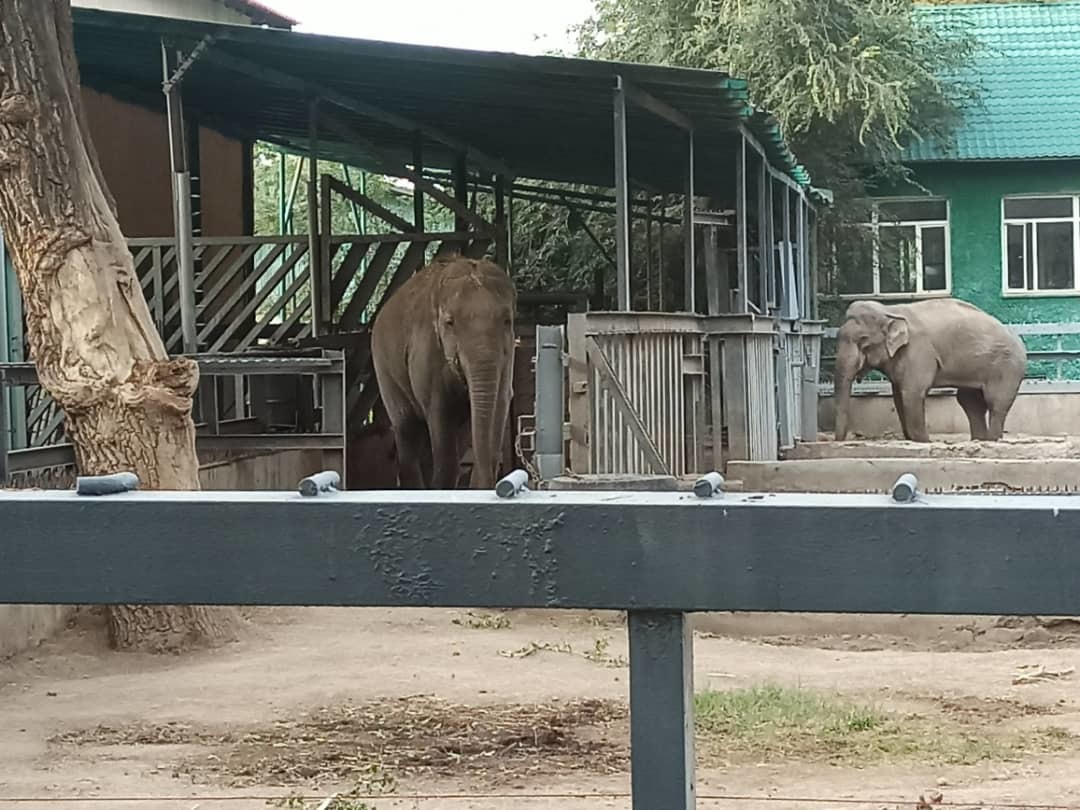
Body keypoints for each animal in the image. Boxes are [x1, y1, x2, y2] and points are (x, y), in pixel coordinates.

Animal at [370, 255, 517, 489]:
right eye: (450, 322)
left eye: (507, 321)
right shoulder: (427, 351)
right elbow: (439, 410)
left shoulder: (508, 355)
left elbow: (501, 401)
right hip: (383, 368)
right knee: (407, 428)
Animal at [833, 298, 1026, 443]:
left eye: (863, 341)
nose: (841, 441)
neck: (889, 310)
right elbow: (899, 395)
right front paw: (914, 440)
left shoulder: (919, 351)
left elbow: (913, 392)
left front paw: (924, 441)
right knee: (970, 402)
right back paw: (979, 440)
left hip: (1007, 366)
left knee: (996, 402)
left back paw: (993, 440)